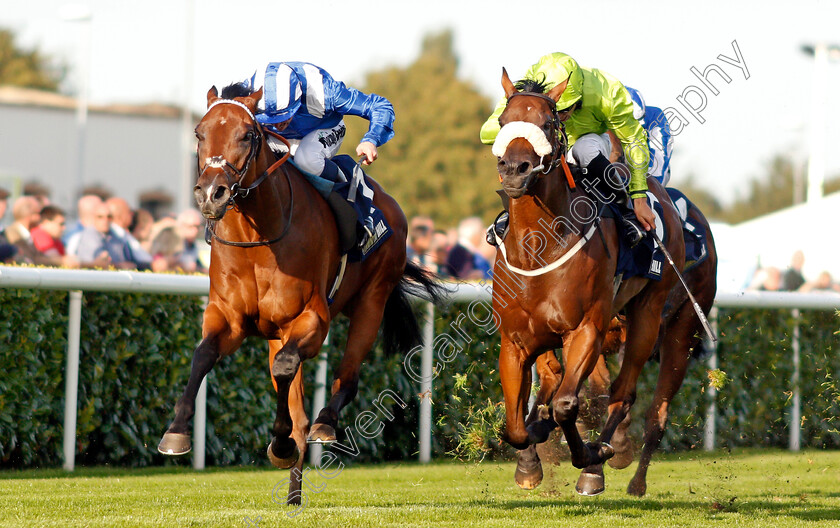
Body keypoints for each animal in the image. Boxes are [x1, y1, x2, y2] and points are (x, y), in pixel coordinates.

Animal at [160, 82, 442, 504]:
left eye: (248, 135)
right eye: (199, 133)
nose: (211, 193)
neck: (259, 238)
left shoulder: (312, 318)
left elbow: (285, 371)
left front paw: (280, 444)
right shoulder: (229, 317)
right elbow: (203, 355)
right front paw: (176, 432)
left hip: (371, 300)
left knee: (345, 378)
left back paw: (324, 425)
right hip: (280, 333)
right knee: (299, 403)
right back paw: (294, 490)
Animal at [488, 69, 684, 496]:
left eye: (547, 123)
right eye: (502, 120)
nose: (514, 168)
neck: (538, 245)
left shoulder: (586, 329)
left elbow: (567, 404)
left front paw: (591, 454)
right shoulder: (514, 340)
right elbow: (515, 424)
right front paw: (531, 453)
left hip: (648, 315)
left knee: (623, 393)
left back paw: (601, 460)